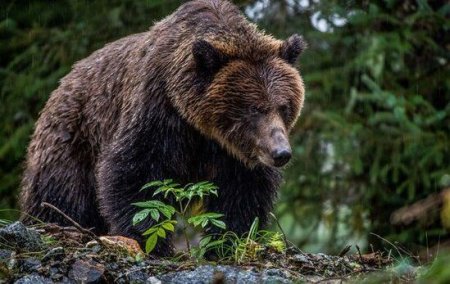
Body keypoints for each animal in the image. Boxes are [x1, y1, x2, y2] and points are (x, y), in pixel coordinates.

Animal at [18, 0, 306, 255]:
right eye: (254, 108)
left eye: (284, 106)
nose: (281, 153)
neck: (201, 125)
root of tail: (63, 81)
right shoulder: (158, 111)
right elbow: (135, 171)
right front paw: (150, 240)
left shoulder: (233, 152)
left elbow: (244, 191)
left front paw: (227, 242)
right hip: (72, 138)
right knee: (60, 193)